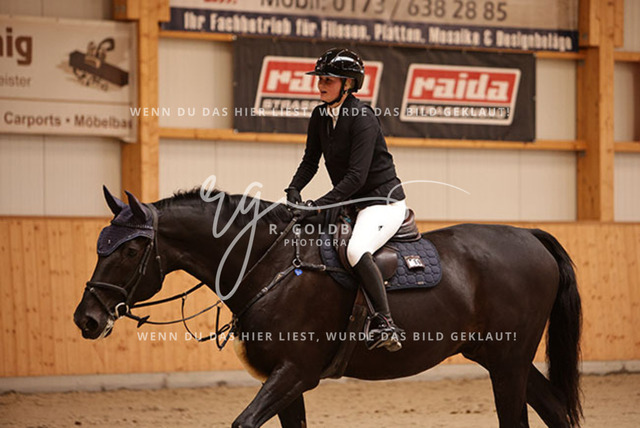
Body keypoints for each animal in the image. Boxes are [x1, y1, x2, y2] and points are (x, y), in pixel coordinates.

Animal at [74, 186, 582, 428]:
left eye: (130, 250)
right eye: (99, 246)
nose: (87, 318)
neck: (270, 264)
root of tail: (528, 235)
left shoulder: (296, 372)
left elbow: (243, 422)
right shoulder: (284, 380)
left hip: (508, 361)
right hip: (500, 357)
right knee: (554, 410)